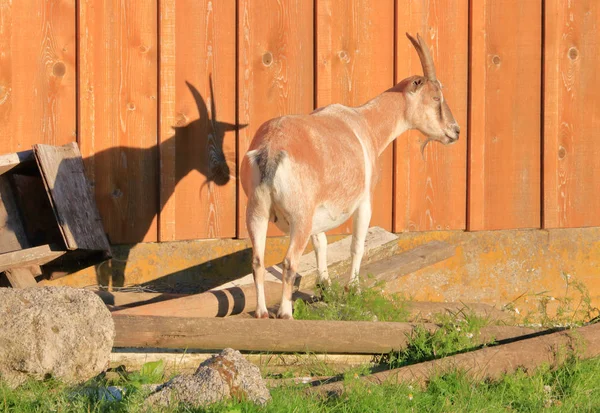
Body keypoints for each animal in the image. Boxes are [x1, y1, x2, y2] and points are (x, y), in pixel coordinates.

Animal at [239, 33, 460, 318]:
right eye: (435, 97)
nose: (455, 131)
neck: (363, 121)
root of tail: (271, 149)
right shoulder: (364, 201)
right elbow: (357, 245)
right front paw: (352, 289)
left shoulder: (317, 215)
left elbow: (321, 242)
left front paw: (326, 286)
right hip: (299, 217)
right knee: (289, 262)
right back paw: (286, 313)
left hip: (256, 212)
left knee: (257, 260)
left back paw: (262, 312)